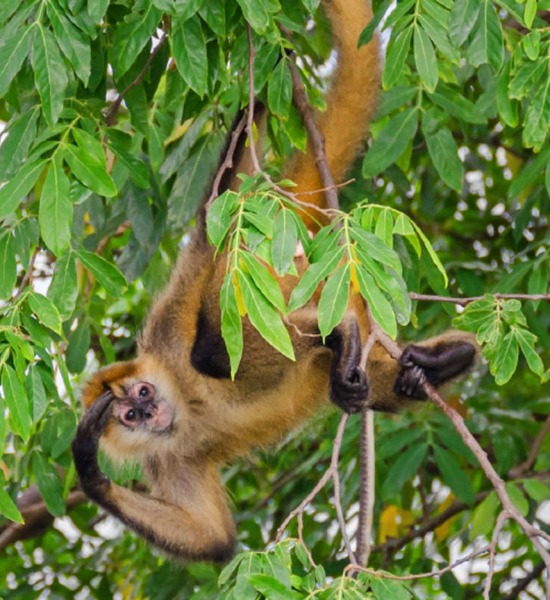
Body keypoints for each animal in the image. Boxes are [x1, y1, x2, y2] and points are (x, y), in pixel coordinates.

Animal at [72, 0, 478, 564]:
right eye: (129, 414)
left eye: (145, 393)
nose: (150, 411)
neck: (182, 407)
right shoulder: (165, 458)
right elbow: (214, 539)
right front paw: (87, 466)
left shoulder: (167, 328)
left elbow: (213, 220)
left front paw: (256, 86)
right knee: (384, 382)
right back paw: (439, 363)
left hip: (285, 276)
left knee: (214, 345)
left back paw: (345, 336)